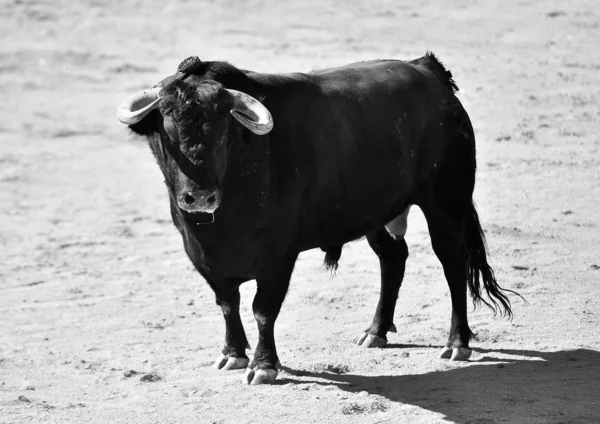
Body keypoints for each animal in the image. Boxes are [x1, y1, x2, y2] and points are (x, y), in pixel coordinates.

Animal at [118, 52, 520, 384]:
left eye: (223, 132)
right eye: (166, 130)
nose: (200, 196)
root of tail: (426, 70)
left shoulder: (278, 256)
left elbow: (263, 309)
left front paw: (264, 366)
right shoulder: (200, 254)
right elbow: (227, 303)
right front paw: (232, 354)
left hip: (446, 201)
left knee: (453, 262)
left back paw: (457, 343)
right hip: (377, 211)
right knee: (393, 258)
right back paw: (375, 332)